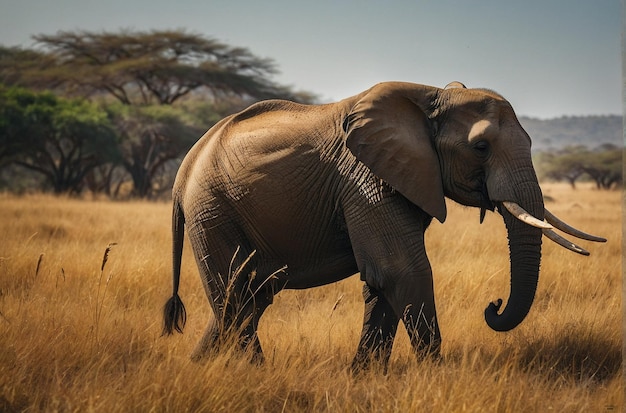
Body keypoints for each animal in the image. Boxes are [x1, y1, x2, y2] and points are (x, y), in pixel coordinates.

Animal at [162, 81, 604, 370]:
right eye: (481, 147)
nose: (492, 306)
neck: (431, 95)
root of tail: (182, 174)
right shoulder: (364, 179)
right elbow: (401, 271)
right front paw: (434, 376)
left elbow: (383, 281)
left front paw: (363, 377)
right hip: (212, 211)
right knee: (236, 294)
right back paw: (254, 372)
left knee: (250, 297)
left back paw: (199, 367)